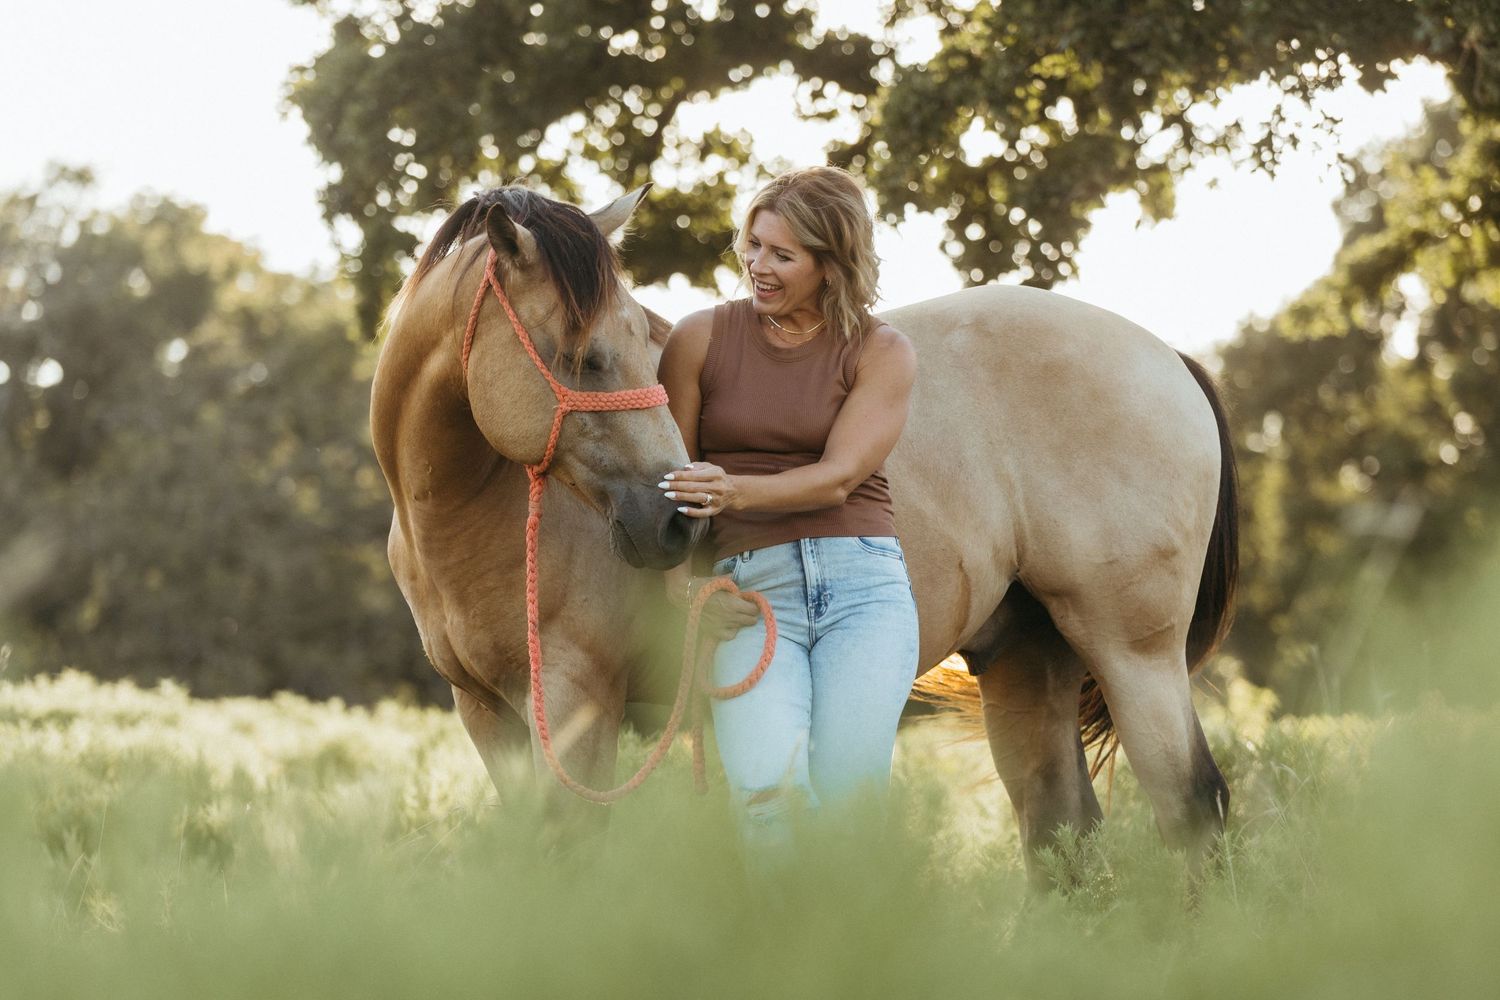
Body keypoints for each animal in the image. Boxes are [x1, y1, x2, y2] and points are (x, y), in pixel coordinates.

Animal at [371, 185, 1236, 880]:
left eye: (626, 342)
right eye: (582, 356)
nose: (672, 525)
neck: (469, 513)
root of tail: (1167, 356)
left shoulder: (576, 703)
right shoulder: (487, 714)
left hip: (1133, 652)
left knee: (1192, 808)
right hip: (1028, 661)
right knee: (1063, 838)